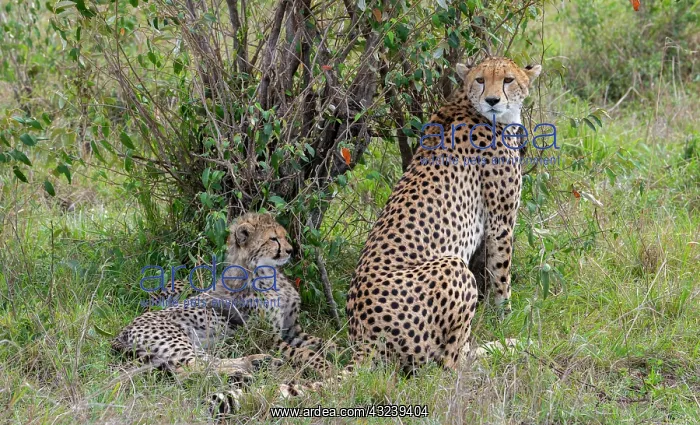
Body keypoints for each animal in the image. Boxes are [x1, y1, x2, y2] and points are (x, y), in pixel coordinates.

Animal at [111, 213, 335, 396]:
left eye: (285, 236)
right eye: (273, 238)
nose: (290, 250)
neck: (266, 272)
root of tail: (122, 330)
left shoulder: (291, 330)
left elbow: (323, 341)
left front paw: (337, 349)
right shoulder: (267, 338)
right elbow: (304, 352)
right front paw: (324, 366)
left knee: (197, 364)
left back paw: (255, 363)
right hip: (177, 340)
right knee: (192, 368)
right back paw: (247, 370)